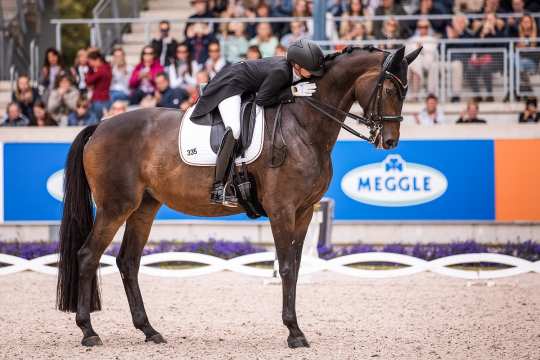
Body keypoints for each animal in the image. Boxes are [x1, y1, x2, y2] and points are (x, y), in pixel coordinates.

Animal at [58, 45, 422, 348]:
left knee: (128, 262)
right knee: (88, 256)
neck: (303, 126)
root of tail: (100, 126)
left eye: (406, 91)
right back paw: (89, 332)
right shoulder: (282, 209)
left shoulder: (305, 211)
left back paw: (149, 331)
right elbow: (285, 266)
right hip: (115, 206)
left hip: (144, 207)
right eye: (391, 89)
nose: (389, 141)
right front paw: (294, 332)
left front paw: (295, 327)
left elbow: (297, 266)